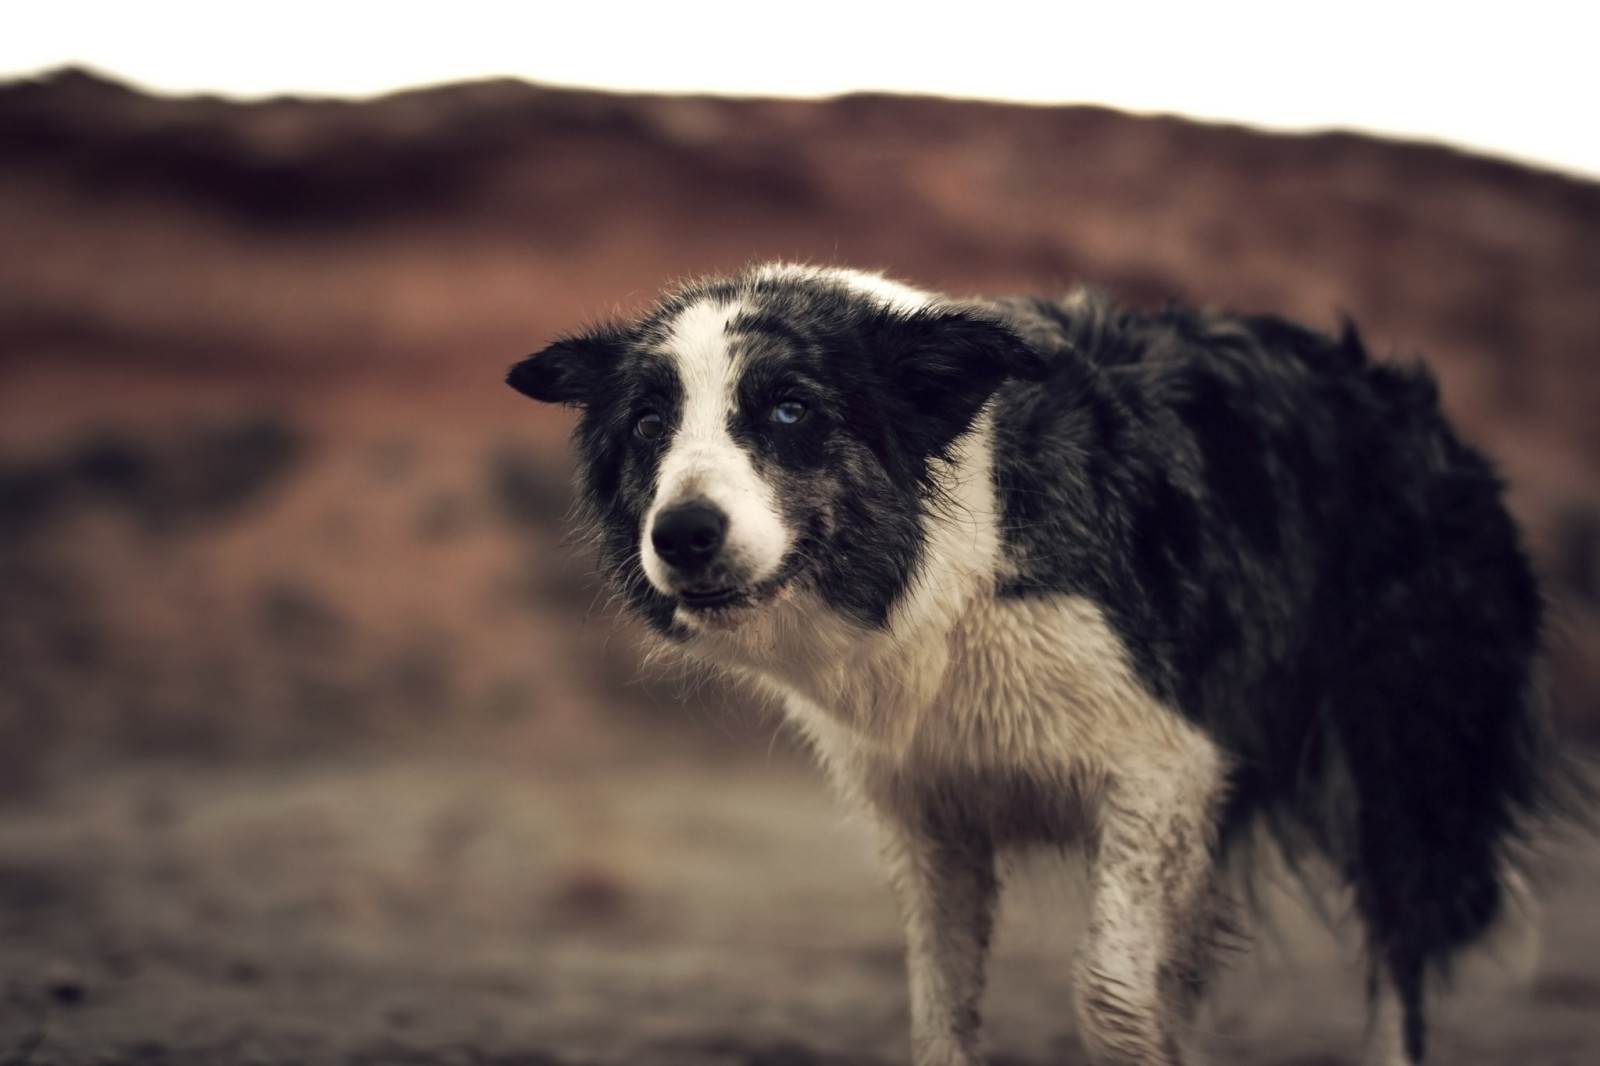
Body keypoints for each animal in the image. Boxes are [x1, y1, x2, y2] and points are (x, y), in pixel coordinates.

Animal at [508, 260, 1561, 1056]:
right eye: (649, 425)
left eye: (792, 411)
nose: (682, 536)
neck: (951, 568)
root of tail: (1434, 422)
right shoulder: (931, 809)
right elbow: (941, 1011)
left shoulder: (1162, 765)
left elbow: (1111, 996)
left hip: (1406, 761)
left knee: (1400, 955)